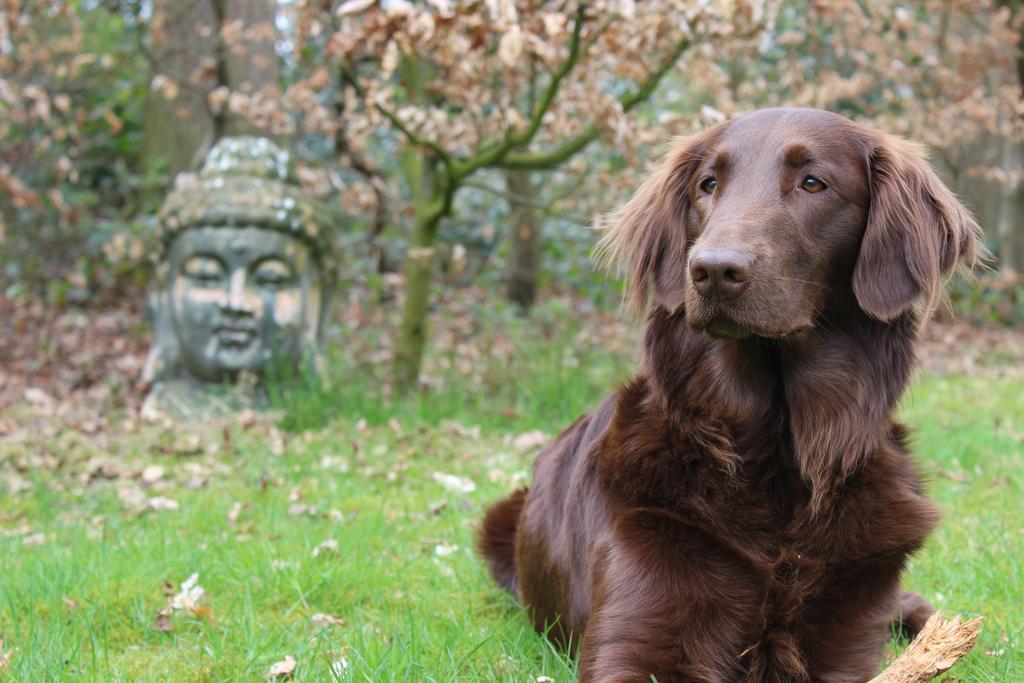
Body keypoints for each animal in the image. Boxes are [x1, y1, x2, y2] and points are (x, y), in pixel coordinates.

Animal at [475, 109, 978, 679]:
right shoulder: (638, 625)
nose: (713, 269)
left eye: (813, 183)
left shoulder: (847, 636)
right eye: (708, 185)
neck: (776, 451)